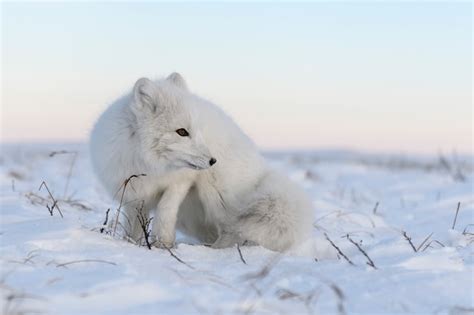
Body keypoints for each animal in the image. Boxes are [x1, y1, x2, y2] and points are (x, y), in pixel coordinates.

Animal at [90, 73, 312, 253]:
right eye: (182, 132)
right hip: (192, 218)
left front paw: (163, 244)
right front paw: (130, 243)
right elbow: (134, 223)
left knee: (233, 229)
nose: (213, 160)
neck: (152, 165)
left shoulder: (181, 181)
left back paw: (216, 250)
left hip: (216, 195)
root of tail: (261, 170)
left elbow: (166, 209)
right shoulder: (132, 191)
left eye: (198, 130)